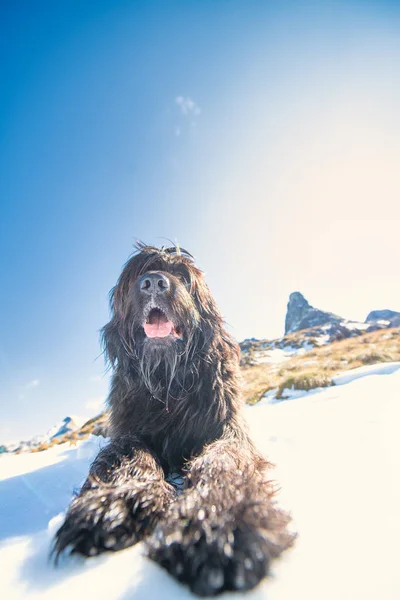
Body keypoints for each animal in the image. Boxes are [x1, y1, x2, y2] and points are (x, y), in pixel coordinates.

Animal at [54, 244, 294, 596]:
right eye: (139, 273)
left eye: (181, 273)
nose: (154, 282)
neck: (169, 383)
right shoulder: (129, 430)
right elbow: (129, 456)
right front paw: (116, 504)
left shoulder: (228, 428)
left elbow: (222, 462)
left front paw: (219, 522)